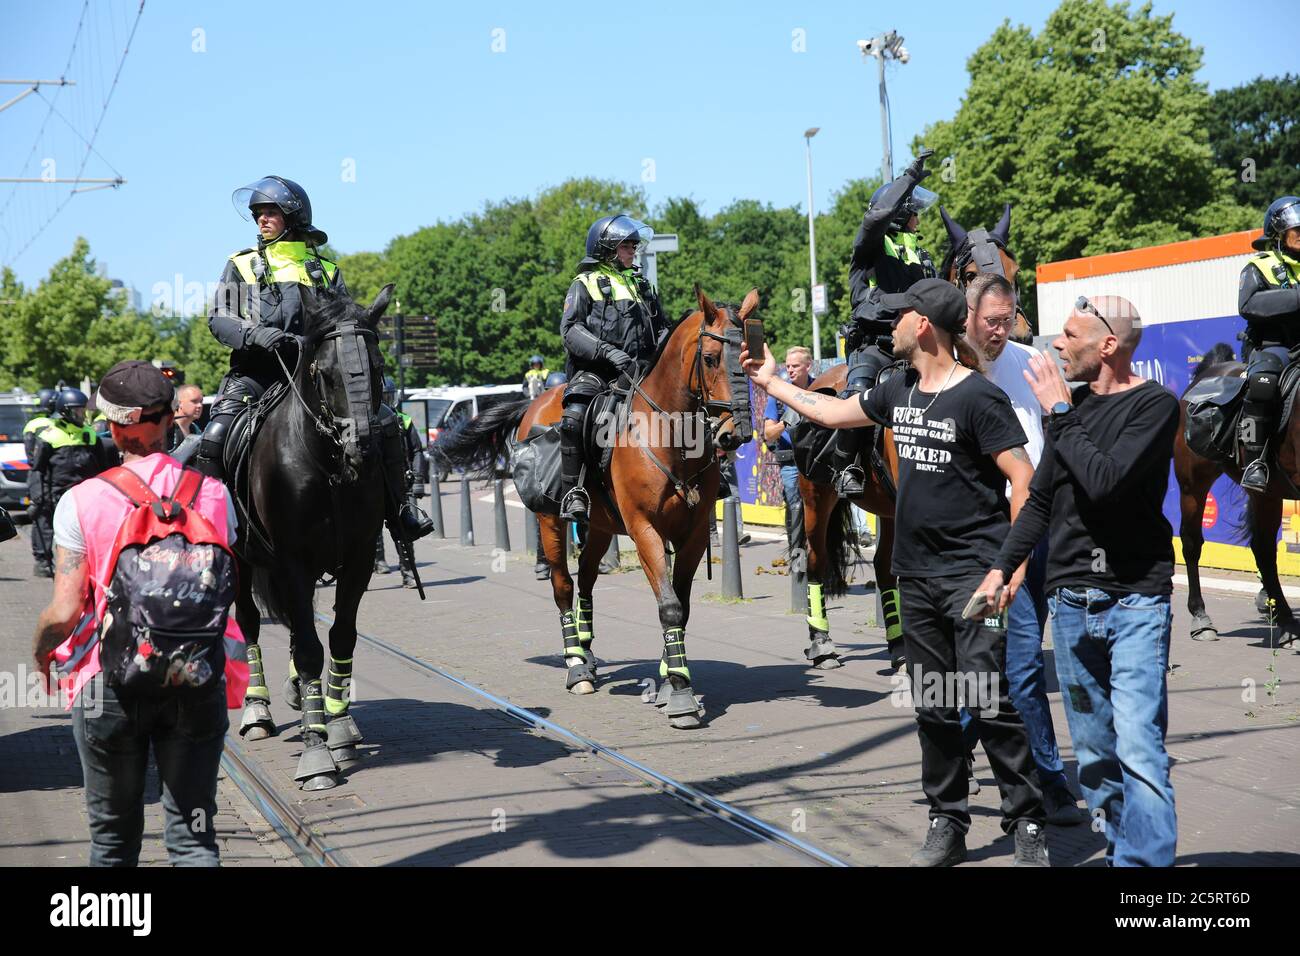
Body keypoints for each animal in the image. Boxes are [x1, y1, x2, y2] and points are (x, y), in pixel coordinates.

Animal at [233, 280, 392, 790]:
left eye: (378, 367)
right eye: (325, 374)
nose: (363, 447)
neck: (327, 469)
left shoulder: (358, 558)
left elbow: (340, 637)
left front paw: (337, 726)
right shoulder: (292, 562)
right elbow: (308, 649)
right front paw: (317, 754)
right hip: (242, 562)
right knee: (249, 622)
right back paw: (258, 710)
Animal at [436, 287, 754, 728]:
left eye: (750, 356)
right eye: (709, 358)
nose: (734, 433)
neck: (670, 435)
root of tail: (533, 403)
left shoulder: (691, 536)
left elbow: (682, 607)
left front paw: (668, 679)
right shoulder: (644, 530)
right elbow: (670, 607)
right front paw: (681, 695)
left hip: (601, 527)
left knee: (586, 580)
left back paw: (586, 652)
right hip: (552, 522)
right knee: (563, 586)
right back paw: (575, 664)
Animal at [795, 208, 1019, 671]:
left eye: (1014, 269)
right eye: (971, 273)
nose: (1010, 325)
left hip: (887, 507)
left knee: (883, 567)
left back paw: (898, 646)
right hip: (816, 500)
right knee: (814, 562)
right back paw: (822, 644)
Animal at [1170, 340, 1300, 647]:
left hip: (1266, 494)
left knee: (1263, 548)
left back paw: (1286, 621)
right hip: (1193, 485)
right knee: (1191, 543)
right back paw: (1201, 618)